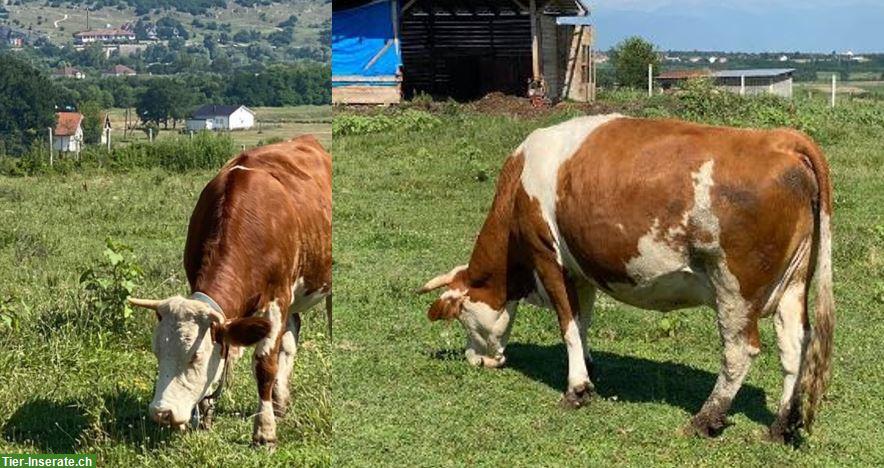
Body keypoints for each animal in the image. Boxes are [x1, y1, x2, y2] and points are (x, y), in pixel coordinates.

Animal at [126, 134, 330, 446]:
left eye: (195, 357)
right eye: (157, 352)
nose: (162, 412)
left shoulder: (277, 298)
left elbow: (264, 365)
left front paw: (264, 431)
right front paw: (205, 417)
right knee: (292, 333)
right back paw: (281, 400)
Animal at [422, 115, 836, 440]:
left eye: (462, 317)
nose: (475, 360)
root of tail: (780, 140)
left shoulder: (547, 256)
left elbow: (566, 323)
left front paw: (576, 389)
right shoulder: (580, 268)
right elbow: (582, 321)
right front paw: (589, 367)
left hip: (734, 288)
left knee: (739, 351)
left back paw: (705, 418)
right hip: (793, 284)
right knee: (794, 345)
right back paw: (780, 425)